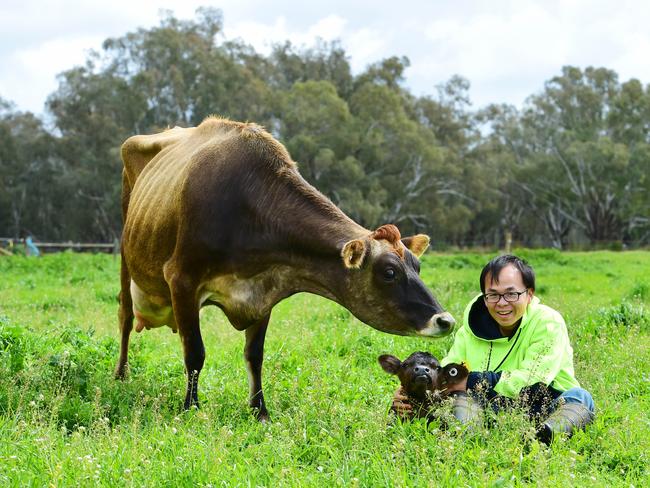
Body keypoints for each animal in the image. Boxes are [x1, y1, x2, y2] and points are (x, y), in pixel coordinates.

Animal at [114, 117, 454, 420]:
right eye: (388, 273)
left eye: (417, 265)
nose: (445, 320)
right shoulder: (182, 279)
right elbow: (195, 353)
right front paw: (191, 408)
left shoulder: (263, 291)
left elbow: (254, 356)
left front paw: (259, 410)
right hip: (125, 258)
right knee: (125, 318)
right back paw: (120, 375)